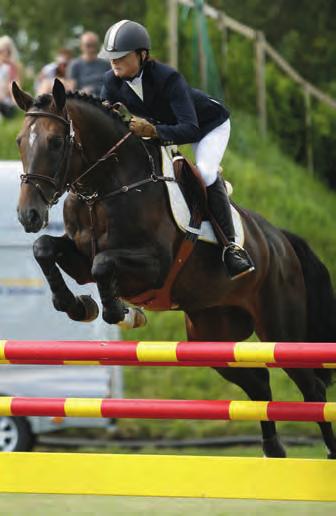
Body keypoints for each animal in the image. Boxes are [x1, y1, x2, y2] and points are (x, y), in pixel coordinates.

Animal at [11, 80, 336, 460]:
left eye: (56, 142)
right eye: (20, 141)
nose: (29, 215)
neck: (106, 187)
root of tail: (281, 239)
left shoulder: (154, 265)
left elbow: (103, 264)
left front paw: (122, 313)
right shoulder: (79, 260)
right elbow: (45, 249)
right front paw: (80, 306)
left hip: (280, 330)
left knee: (312, 389)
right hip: (211, 335)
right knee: (258, 386)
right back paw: (273, 451)